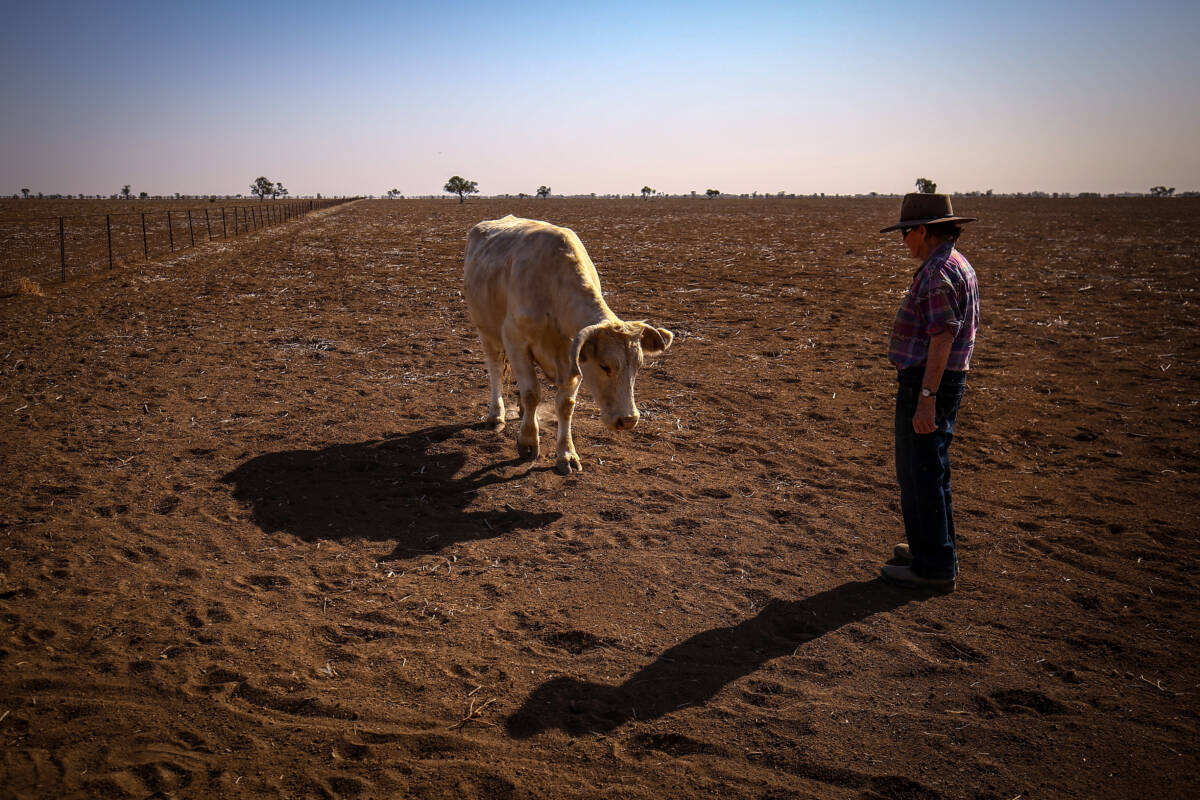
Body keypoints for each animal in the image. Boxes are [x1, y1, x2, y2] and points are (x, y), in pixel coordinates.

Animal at [463, 215, 676, 472]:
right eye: (604, 365)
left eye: (638, 366)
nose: (628, 420)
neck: (552, 290)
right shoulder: (515, 342)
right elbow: (532, 392)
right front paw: (528, 442)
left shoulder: (573, 356)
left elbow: (566, 404)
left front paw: (566, 454)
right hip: (486, 330)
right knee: (495, 369)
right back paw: (496, 415)